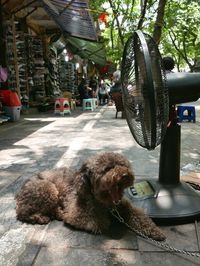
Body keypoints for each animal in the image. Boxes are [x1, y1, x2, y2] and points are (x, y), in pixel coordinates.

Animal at [15, 152, 166, 241]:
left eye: (122, 164)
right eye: (107, 169)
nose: (125, 175)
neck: (105, 202)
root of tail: (18, 193)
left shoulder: (125, 207)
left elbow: (140, 217)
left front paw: (154, 231)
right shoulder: (77, 214)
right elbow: (98, 222)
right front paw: (105, 221)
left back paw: (58, 213)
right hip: (48, 188)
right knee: (22, 213)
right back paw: (40, 217)